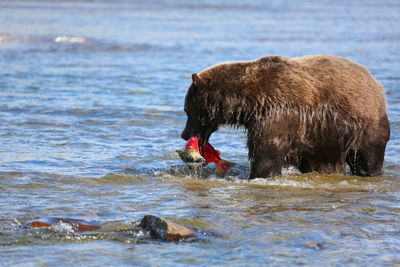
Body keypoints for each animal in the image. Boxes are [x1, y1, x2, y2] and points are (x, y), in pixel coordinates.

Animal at [181, 55, 390, 179]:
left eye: (187, 111)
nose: (184, 134)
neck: (247, 103)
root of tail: (376, 84)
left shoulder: (276, 116)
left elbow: (266, 154)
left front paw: (257, 175)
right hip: (326, 138)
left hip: (364, 126)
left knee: (368, 157)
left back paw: (369, 172)